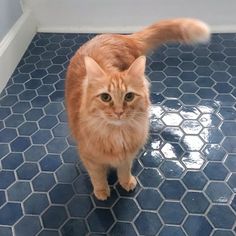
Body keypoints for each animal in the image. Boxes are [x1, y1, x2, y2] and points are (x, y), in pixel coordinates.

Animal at [65, 18, 210, 200]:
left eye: (129, 96)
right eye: (105, 97)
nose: (119, 112)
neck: (117, 135)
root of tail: (123, 37)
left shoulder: (127, 155)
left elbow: (124, 170)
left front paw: (126, 182)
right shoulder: (90, 159)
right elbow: (97, 177)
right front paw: (102, 191)